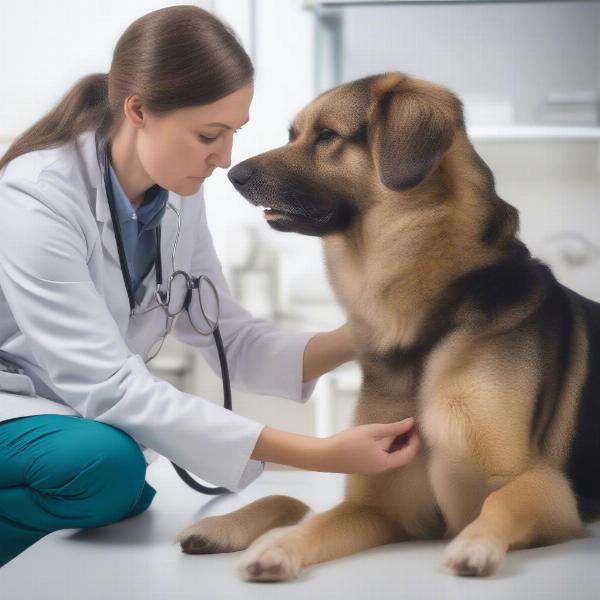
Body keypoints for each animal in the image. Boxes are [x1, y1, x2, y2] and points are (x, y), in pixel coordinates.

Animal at [173, 71, 600, 580]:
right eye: (293, 134)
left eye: (327, 136)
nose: (233, 174)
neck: (432, 323)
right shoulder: (382, 506)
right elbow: (315, 520)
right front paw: (276, 547)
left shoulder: (547, 489)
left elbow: (500, 503)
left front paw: (475, 545)